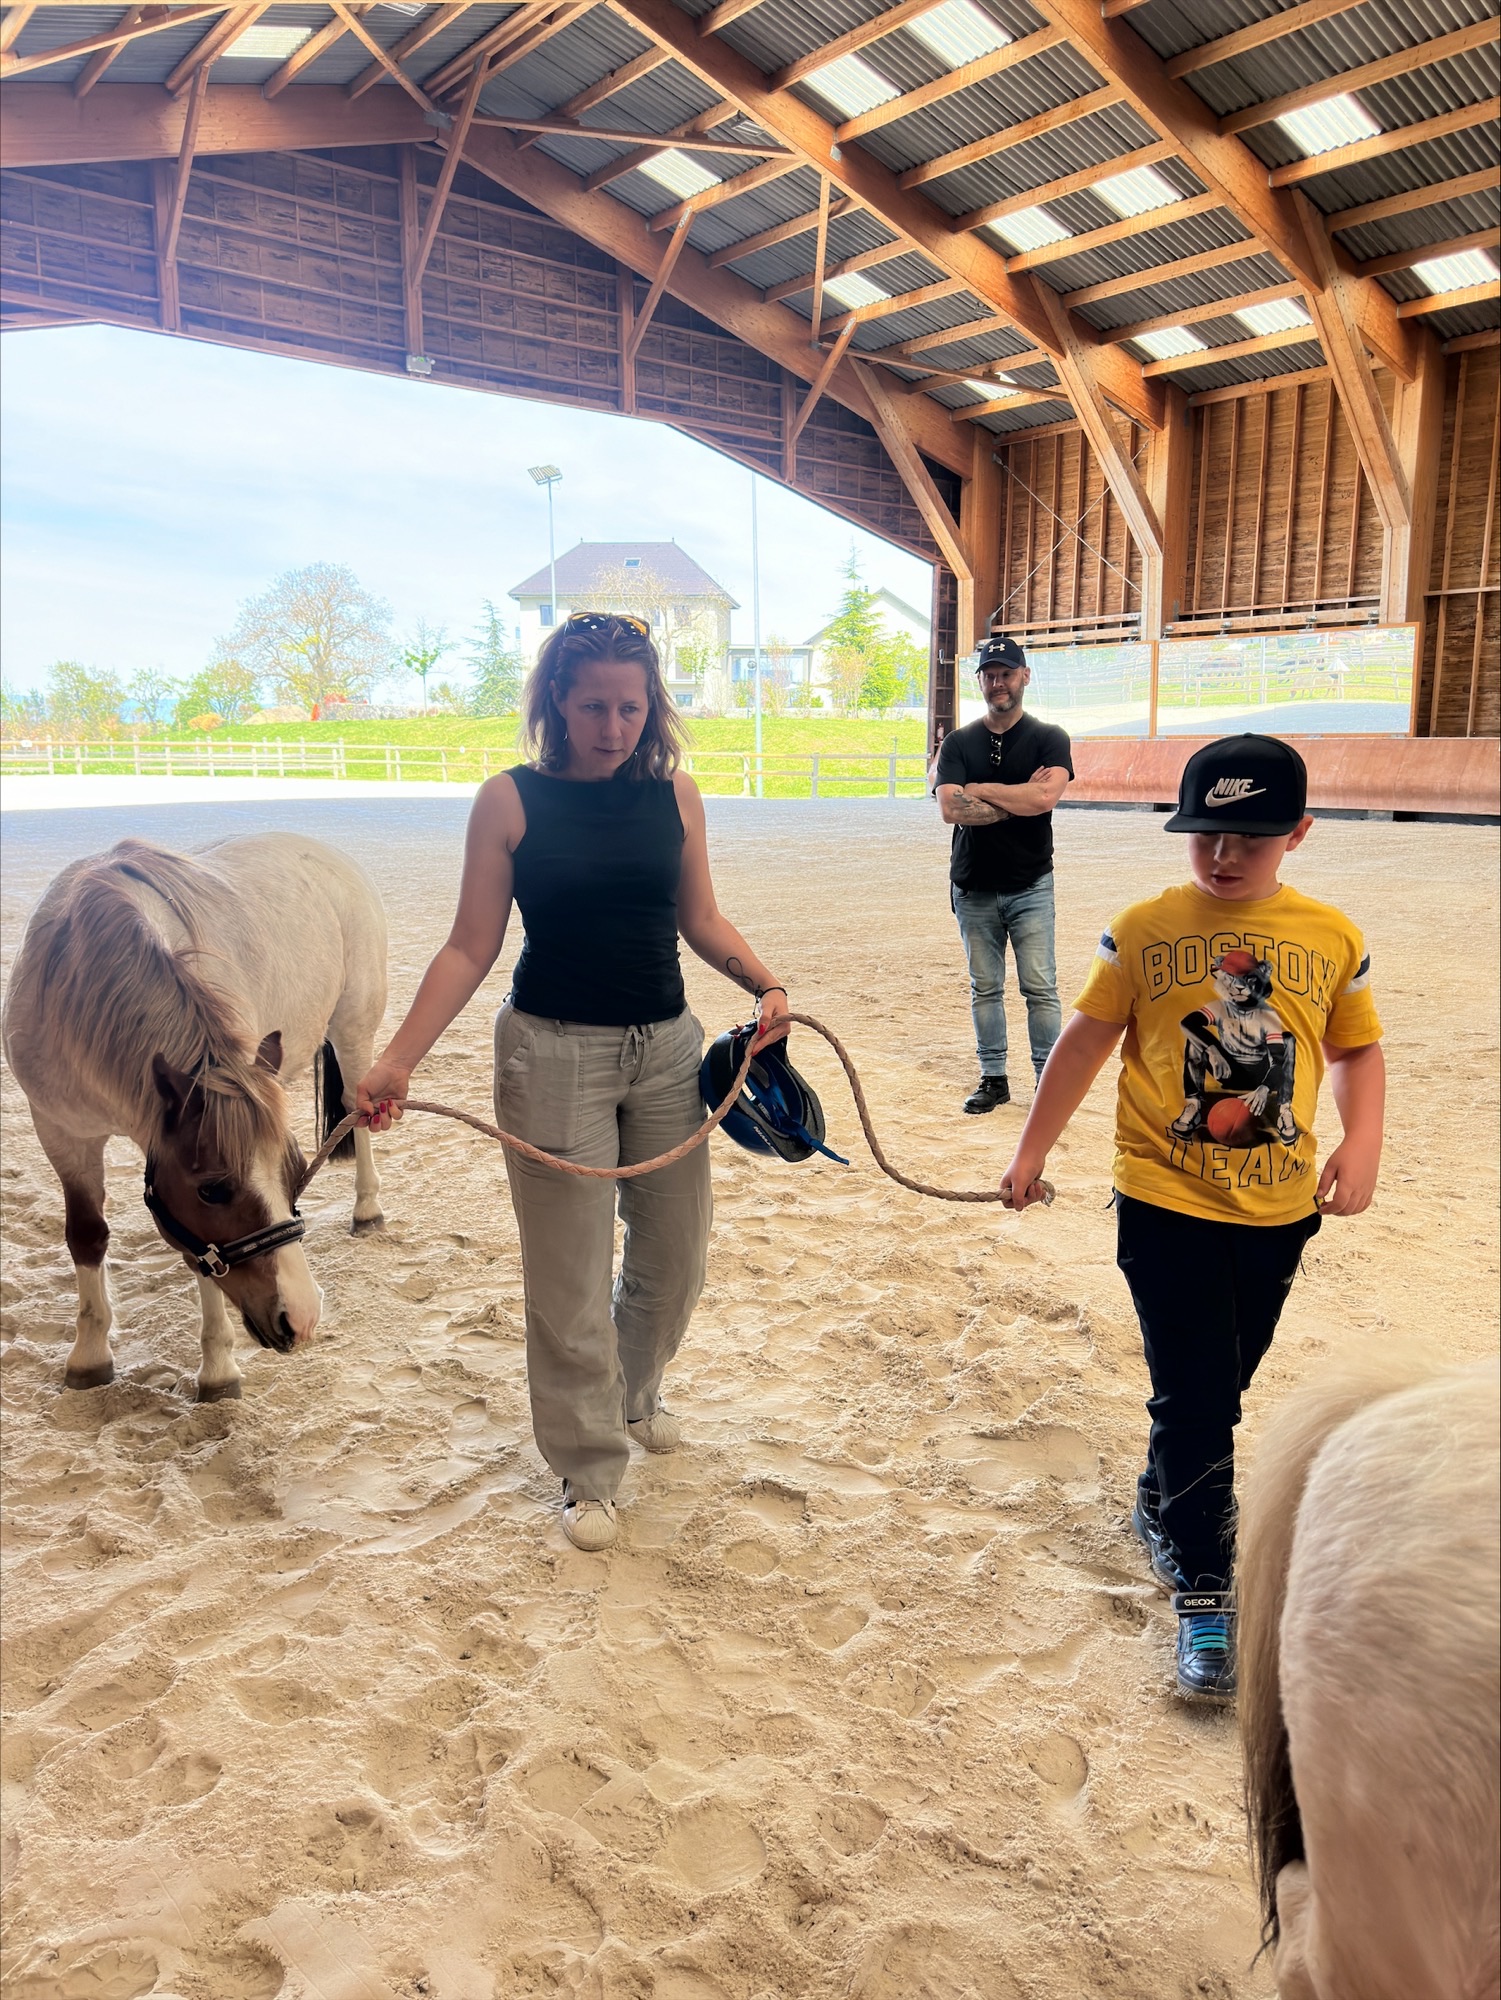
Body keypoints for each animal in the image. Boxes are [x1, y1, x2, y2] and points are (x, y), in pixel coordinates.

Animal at [1, 836, 388, 1400]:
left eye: (297, 1176)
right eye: (213, 1190)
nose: (302, 1317)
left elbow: (201, 1263)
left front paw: (218, 1367)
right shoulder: (61, 1132)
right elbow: (87, 1235)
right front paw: (90, 1354)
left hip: (352, 1031)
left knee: (359, 1116)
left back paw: (367, 1208)